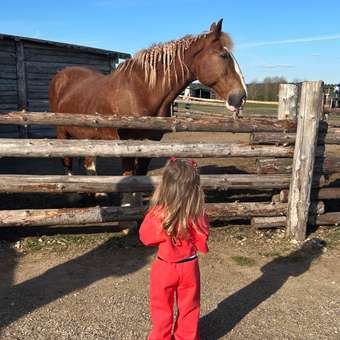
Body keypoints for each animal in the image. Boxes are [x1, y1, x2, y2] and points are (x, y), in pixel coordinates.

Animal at [48, 17, 247, 186]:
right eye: (223, 55)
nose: (241, 97)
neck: (141, 91)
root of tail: (60, 75)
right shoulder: (126, 143)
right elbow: (128, 178)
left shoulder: (150, 143)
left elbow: (140, 177)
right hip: (62, 132)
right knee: (67, 162)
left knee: (89, 163)